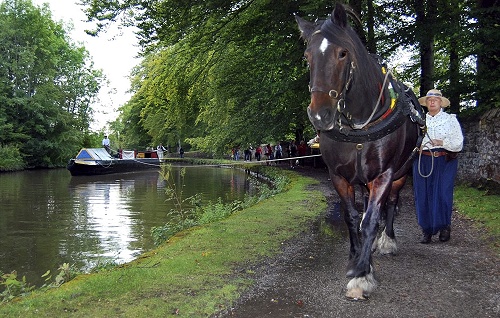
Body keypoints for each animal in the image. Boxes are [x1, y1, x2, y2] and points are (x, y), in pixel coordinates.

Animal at [294, 3, 424, 300]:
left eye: (342, 53)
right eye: (307, 57)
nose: (320, 114)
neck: (359, 126)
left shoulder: (384, 175)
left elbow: (371, 220)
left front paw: (362, 274)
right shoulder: (338, 176)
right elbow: (352, 217)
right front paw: (356, 257)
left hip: (401, 173)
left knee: (390, 205)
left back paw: (386, 240)